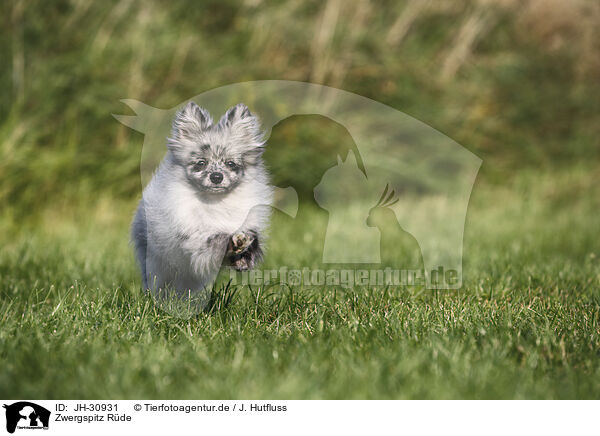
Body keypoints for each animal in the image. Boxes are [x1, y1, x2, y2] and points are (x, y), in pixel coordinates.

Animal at [132, 102, 274, 296]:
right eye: (201, 163)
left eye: (230, 163)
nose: (216, 177)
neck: (217, 202)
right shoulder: (193, 236)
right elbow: (214, 239)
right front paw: (231, 242)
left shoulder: (248, 224)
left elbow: (252, 239)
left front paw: (243, 256)